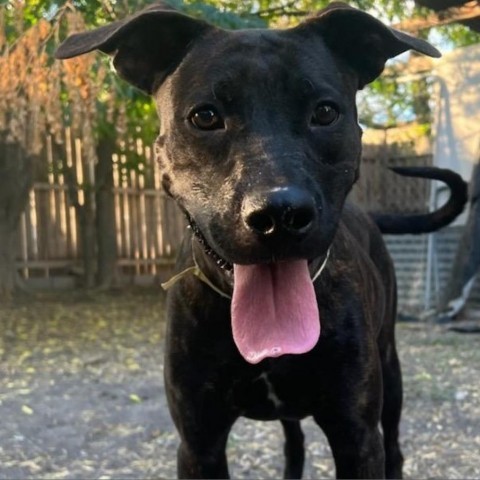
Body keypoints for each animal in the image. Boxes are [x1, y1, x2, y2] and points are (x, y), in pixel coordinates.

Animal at [55, 2, 464, 476]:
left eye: (325, 112)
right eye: (205, 116)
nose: (279, 215)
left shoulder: (357, 437)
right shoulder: (199, 443)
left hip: (390, 369)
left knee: (394, 446)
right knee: (295, 442)